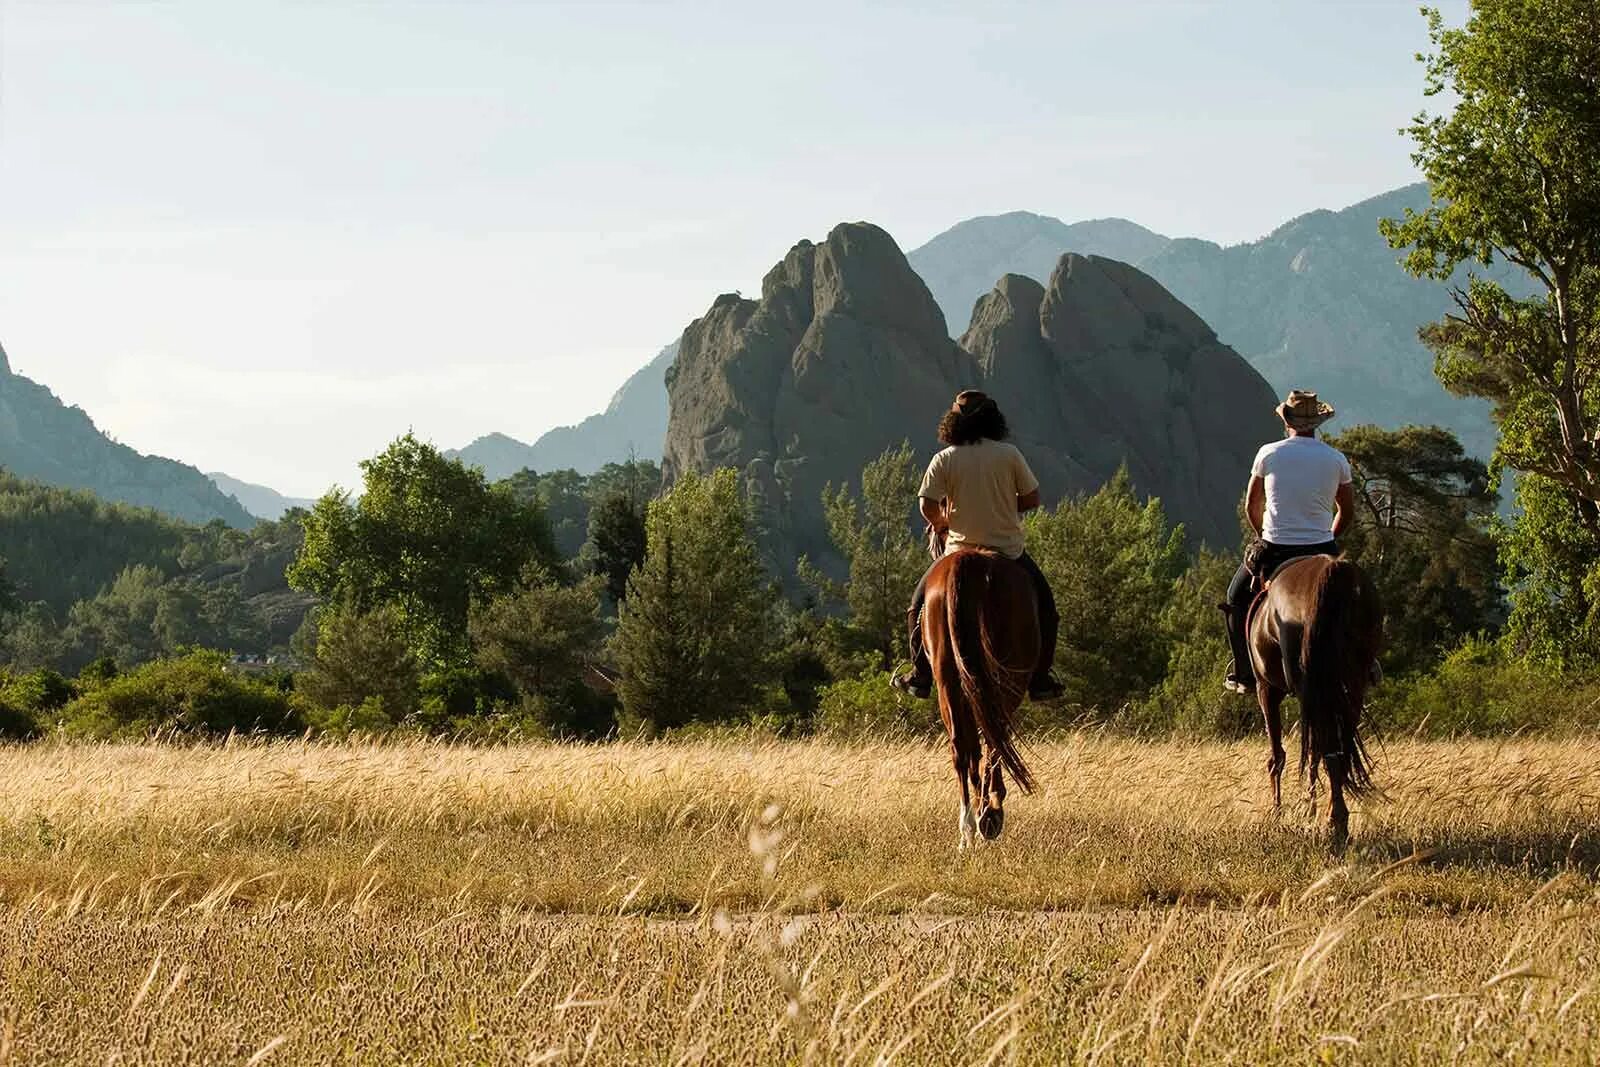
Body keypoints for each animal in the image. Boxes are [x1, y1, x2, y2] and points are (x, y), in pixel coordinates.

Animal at [922, 547, 1039, 849]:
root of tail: (968, 560)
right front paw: (991, 808)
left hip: (948, 678)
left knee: (961, 748)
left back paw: (968, 829)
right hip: (1005, 677)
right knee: (994, 738)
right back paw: (988, 815)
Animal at [1247, 553, 1382, 850]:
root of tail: (1332, 570)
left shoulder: (1267, 689)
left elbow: (1279, 755)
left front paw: (1279, 811)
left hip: (1307, 687)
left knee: (1321, 745)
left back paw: (1333, 821)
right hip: (1352, 682)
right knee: (1337, 747)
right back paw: (1337, 818)